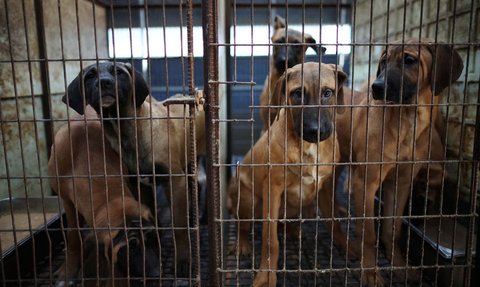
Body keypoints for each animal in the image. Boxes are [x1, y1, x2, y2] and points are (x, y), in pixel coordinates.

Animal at [49, 109, 161, 286]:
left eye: (150, 240)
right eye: (129, 248)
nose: (156, 275)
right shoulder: (67, 202)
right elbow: (73, 237)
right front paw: (68, 270)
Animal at [62, 62, 205, 278]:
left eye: (119, 72)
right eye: (90, 76)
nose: (104, 83)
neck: (128, 132)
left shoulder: (175, 180)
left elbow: (178, 227)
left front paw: (183, 261)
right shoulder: (140, 184)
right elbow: (152, 216)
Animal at [227, 62, 346, 286]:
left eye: (328, 93)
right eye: (297, 93)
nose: (315, 131)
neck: (308, 147)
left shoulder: (326, 186)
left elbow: (334, 223)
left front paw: (351, 248)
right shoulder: (272, 189)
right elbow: (270, 241)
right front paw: (266, 276)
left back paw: (292, 231)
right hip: (248, 199)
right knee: (243, 226)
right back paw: (243, 243)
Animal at [334, 38, 464, 287]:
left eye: (409, 60)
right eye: (384, 61)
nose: (376, 87)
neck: (407, 119)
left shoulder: (401, 183)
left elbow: (392, 230)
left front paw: (400, 266)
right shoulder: (366, 183)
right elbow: (368, 234)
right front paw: (370, 272)